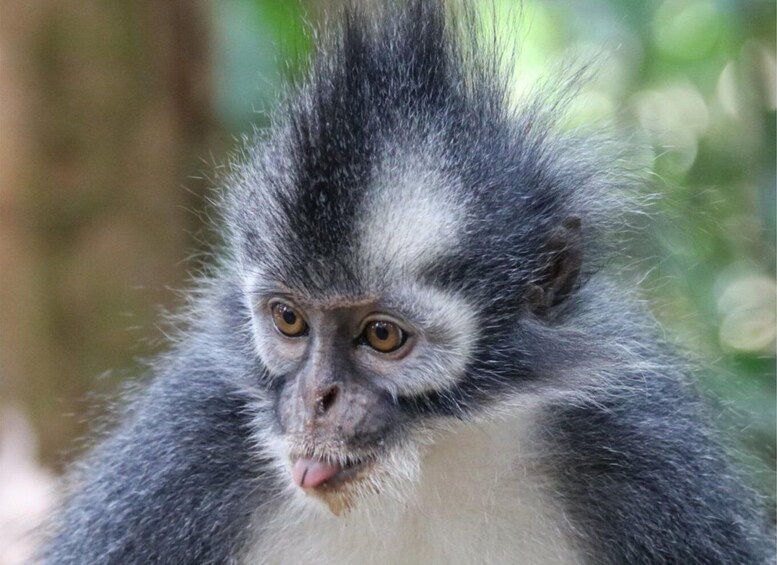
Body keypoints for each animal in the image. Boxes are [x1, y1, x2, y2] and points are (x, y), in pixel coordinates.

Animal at [41, 1, 775, 564]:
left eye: (383, 336)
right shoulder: (189, 442)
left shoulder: (637, 448)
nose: (317, 399)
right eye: (289, 321)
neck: (422, 469)